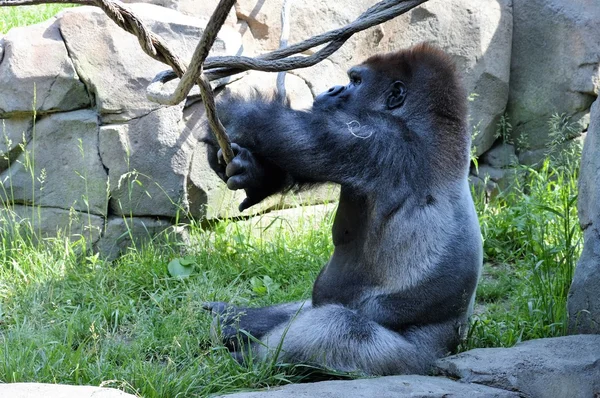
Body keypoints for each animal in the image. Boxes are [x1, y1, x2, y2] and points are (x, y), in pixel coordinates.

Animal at [202, 43, 482, 376]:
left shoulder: (380, 138)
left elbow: (292, 135)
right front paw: (253, 174)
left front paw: (231, 113)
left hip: (408, 361)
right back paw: (232, 319)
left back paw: (249, 358)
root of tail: (448, 350)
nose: (333, 89)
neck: (433, 122)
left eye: (356, 81)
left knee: (336, 327)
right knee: (304, 312)